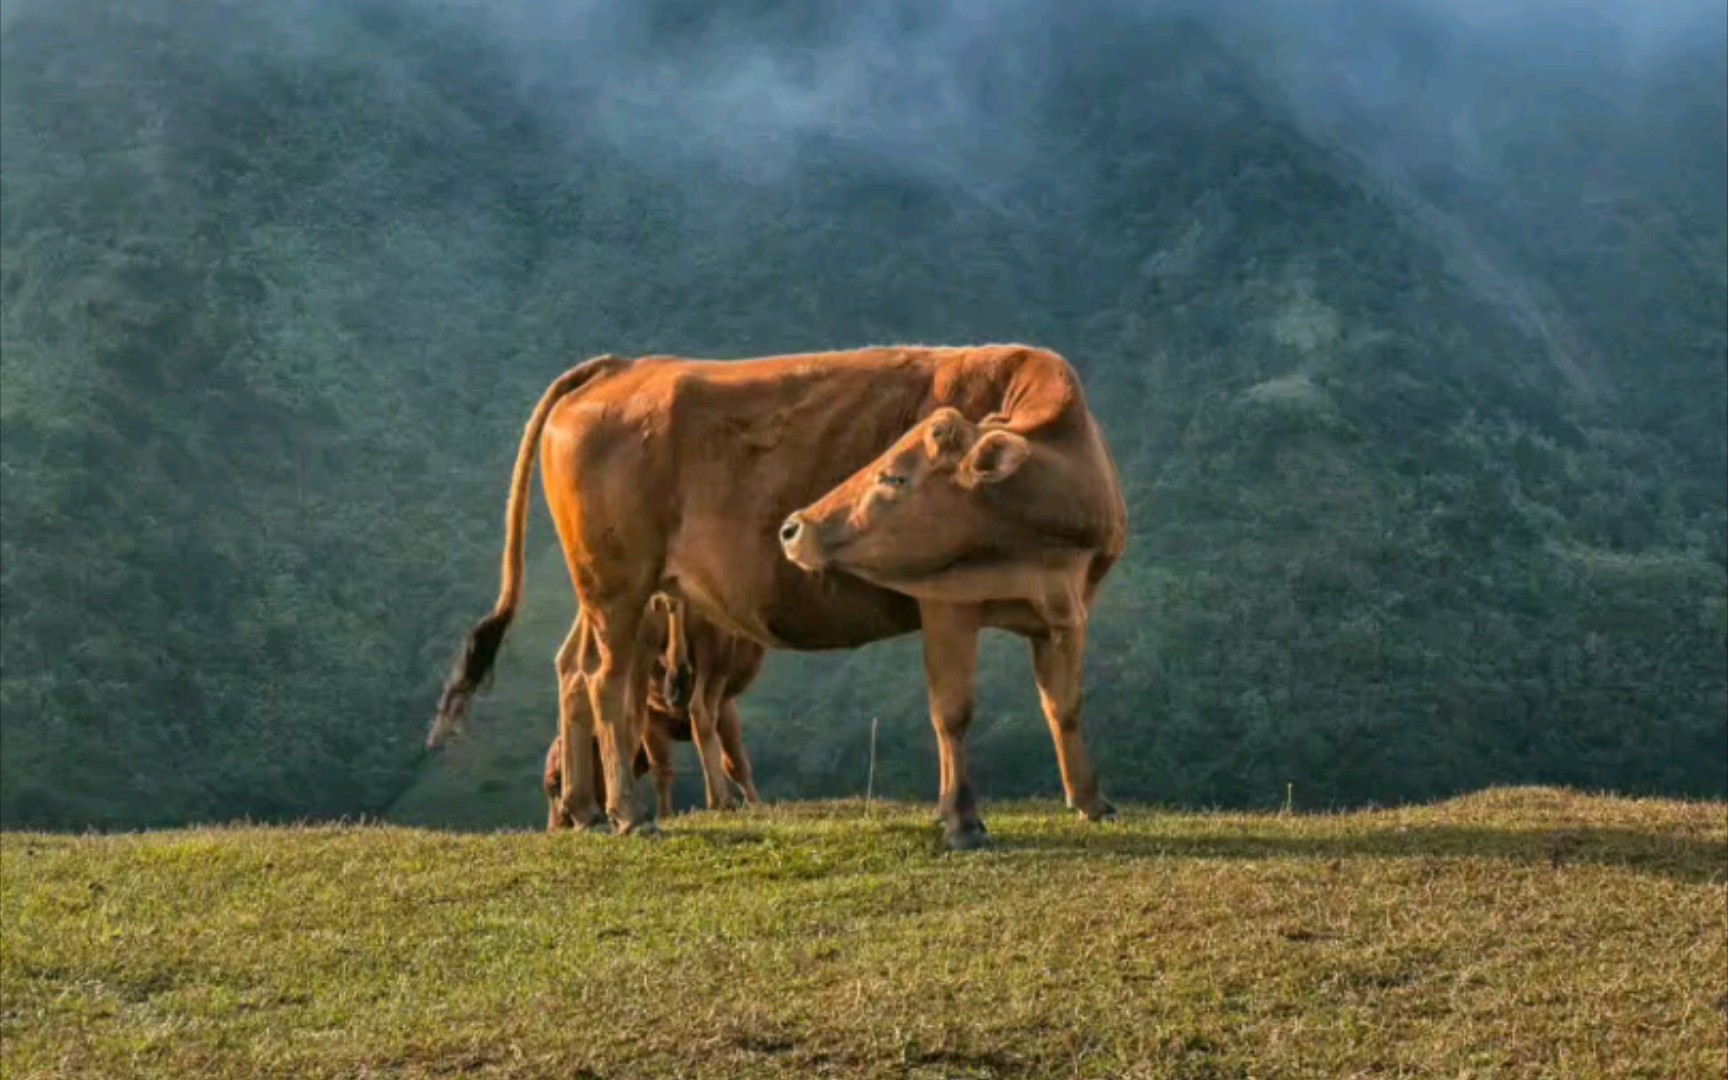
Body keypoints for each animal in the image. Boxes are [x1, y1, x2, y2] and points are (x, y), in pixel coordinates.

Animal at [435, 345, 1119, 850]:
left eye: (893, 476)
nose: (795, 527)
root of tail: (621, 366)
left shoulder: (1069, 612)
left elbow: (1065, 705)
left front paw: (1091, 801)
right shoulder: (946, 603)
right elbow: (952, 712)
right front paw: (962, 820)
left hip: (605, 590)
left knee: (573, 671)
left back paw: (584, 808)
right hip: (618, 585)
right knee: (607, 684)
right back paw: (628, 813)